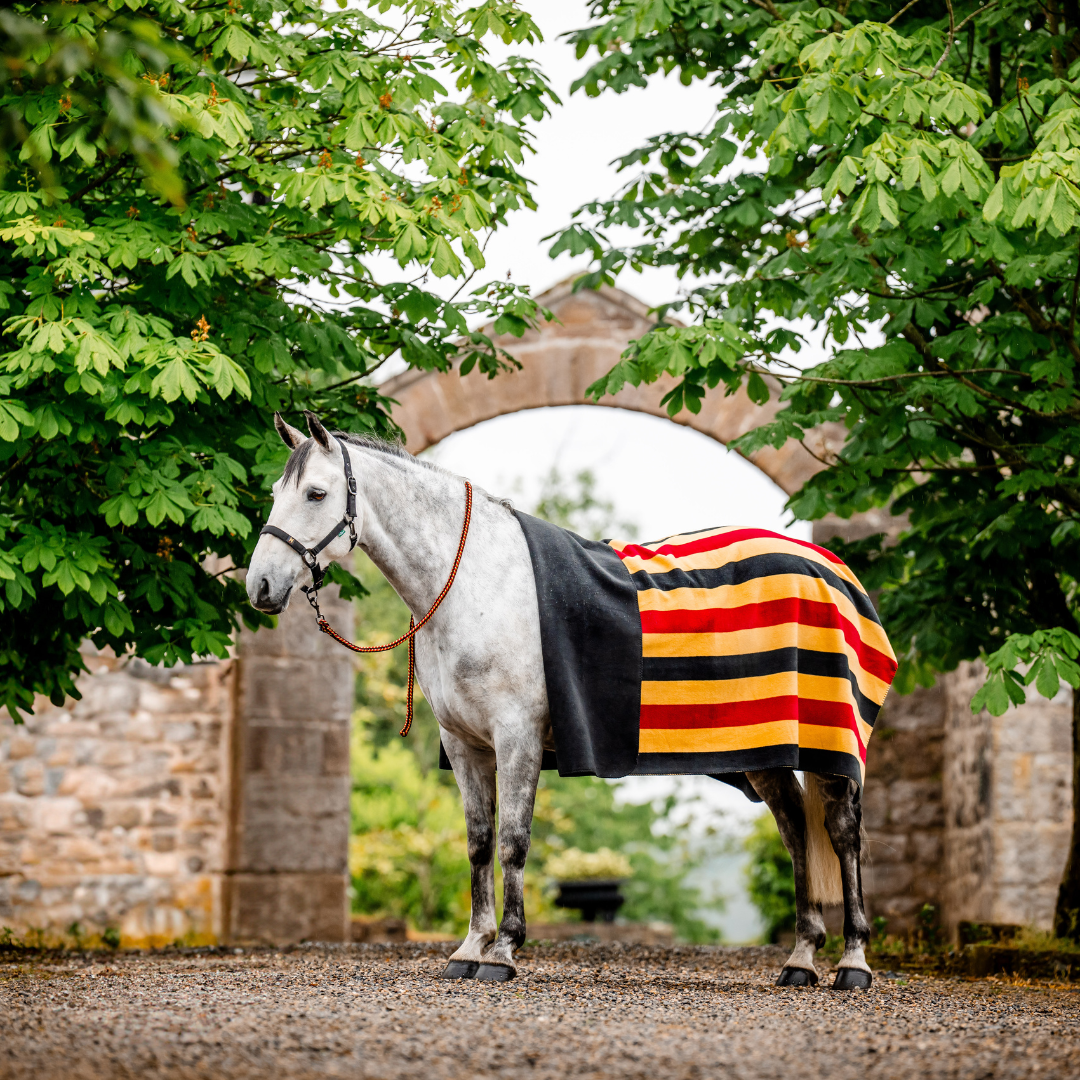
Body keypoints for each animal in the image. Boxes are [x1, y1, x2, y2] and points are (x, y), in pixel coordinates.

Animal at [246, 411, 882, 990]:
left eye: (316, 492)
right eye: (277, 492)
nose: (260, 587)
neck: (475, 583)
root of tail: (830, 569)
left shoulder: (517, 736)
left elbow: (513, 841)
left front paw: (503, 952)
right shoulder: (464, 744)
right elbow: (479, 843)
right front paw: (469, 949)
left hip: (829, 745)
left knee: (842, 832)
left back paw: (852, 962)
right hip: (763, 748)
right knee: (796, 829)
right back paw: (800, 959)